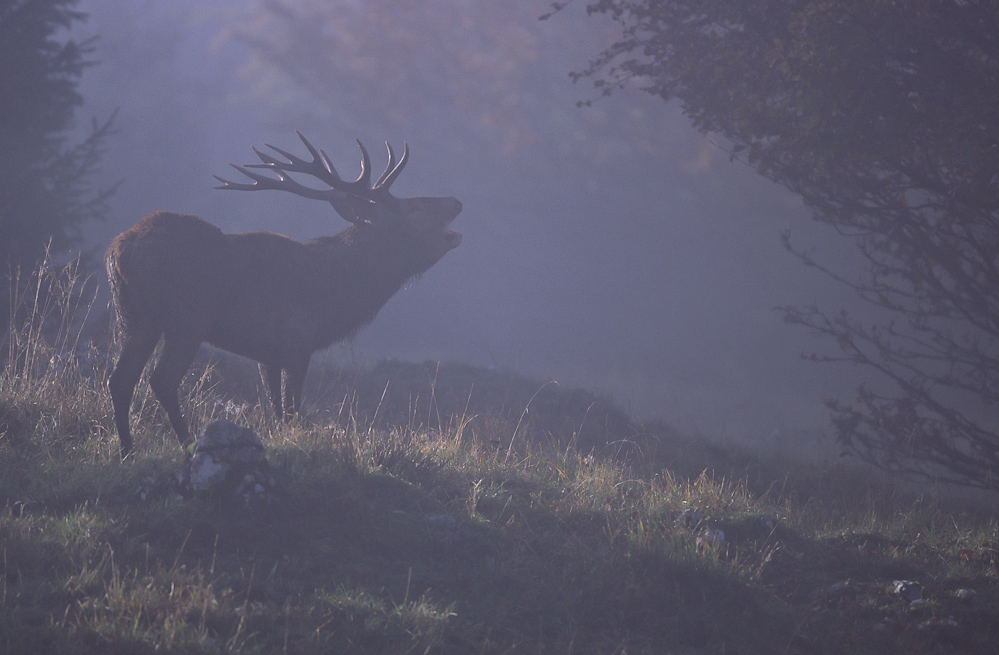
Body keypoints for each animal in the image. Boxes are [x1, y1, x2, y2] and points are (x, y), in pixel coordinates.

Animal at [103, 134, 462, 458]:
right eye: (414, 208)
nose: (456, 202)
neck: (340, 291)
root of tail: (120, 250)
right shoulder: (297, 341)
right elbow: (292, 411)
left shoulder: (267, 352)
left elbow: (276, 409)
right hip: (187, 319)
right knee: (161, 380)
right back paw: (189, 445)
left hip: (134, 316)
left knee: (120, 379)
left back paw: (126, 451)